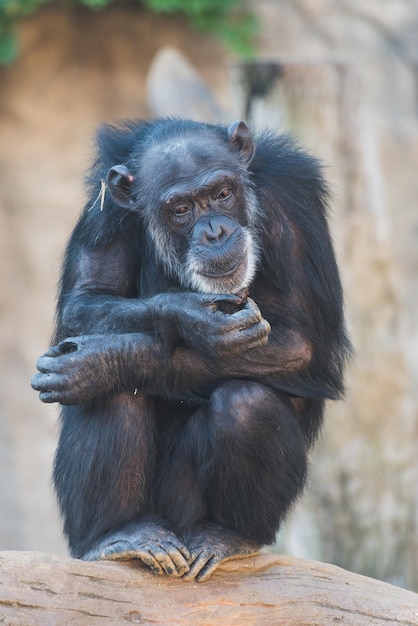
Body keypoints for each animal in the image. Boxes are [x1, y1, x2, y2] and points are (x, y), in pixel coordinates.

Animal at [31, 117, 350, 580]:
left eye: (221, 194)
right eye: (180, 209)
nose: (215, 231)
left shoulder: (291, 203)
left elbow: (300, 342)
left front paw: (106, 361)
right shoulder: (105, 210)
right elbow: (86, 299)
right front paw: (188, 319)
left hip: (190, 510)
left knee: (246, 404)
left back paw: (226, 536)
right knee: (112, 398)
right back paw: (118, 535)